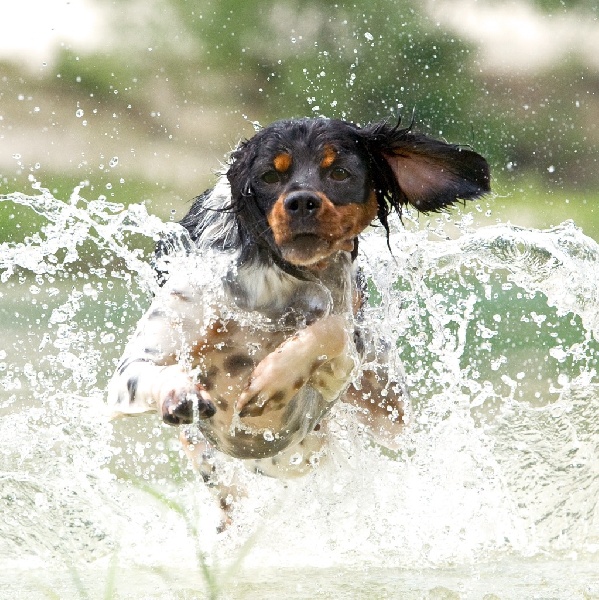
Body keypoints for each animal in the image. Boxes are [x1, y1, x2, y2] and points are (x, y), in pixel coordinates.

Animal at [108, 116, 490, 519]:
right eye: (269, 176)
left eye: (339, 172)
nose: (302, 202)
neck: (276, 287)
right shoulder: (137, 365)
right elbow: (151, 374)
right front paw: (180, 395)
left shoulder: (341, 363)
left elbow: (334, 333)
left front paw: (273, 380)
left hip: (388, 411)